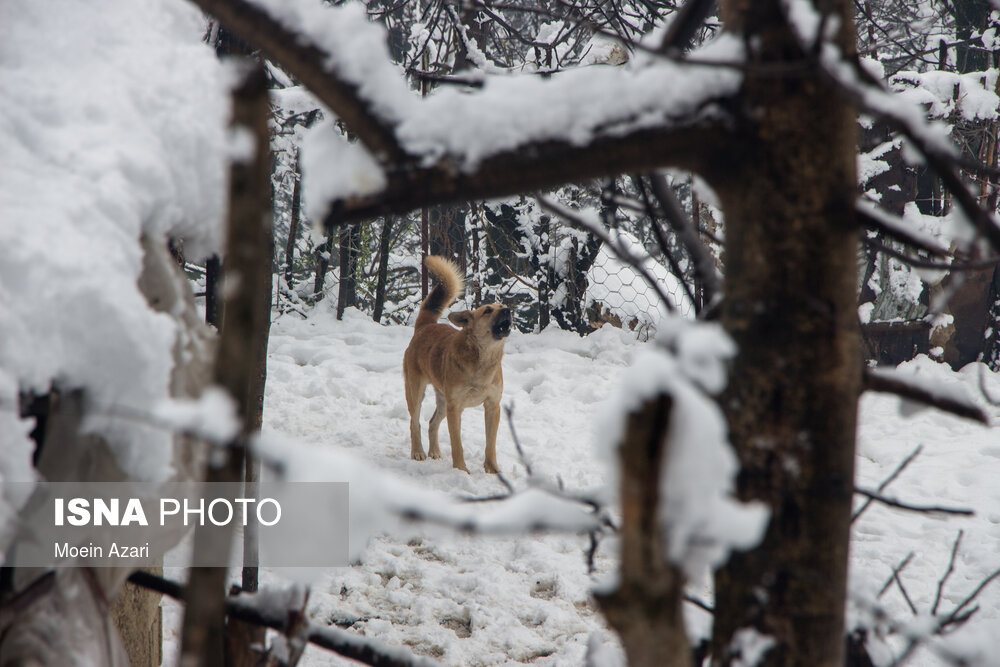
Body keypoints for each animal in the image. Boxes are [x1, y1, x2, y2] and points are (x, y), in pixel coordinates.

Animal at [402, 253, 512, 472]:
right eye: (487, 310)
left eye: (503, 306)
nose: (508, 311)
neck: (482, 358)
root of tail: (425, 326)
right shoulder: (456, 407)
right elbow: (457, 444)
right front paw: (461, 470)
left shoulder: (492, 406)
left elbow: (490, 443)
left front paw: (492, 470)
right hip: (416, 391)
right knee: (415, 422)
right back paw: (418, 451)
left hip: (443, 399)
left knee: (432, 423)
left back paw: (434, 451)